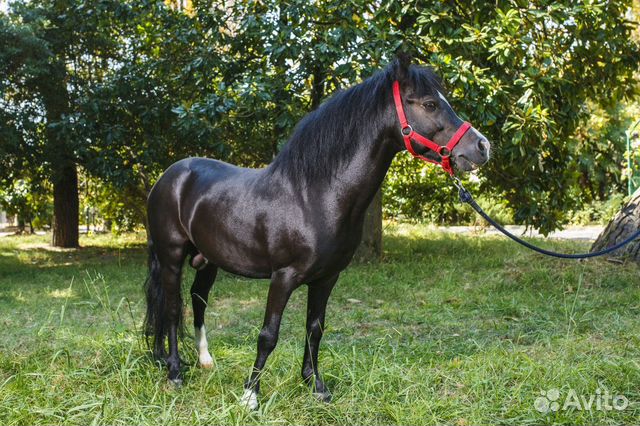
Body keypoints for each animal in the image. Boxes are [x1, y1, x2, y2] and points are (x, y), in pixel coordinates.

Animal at [143, 54, 490, 409]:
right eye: (430, 104)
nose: (481, 146)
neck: (314, 196)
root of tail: (169, 176)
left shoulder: (326, 278)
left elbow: (315, 329)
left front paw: (315, 386)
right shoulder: (283, 277)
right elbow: (268, 335)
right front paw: (250, 396)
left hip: (208, 260)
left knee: (198, 300)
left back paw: (204, 360)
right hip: (171, 257)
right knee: (172, 309)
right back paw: (174, 372)